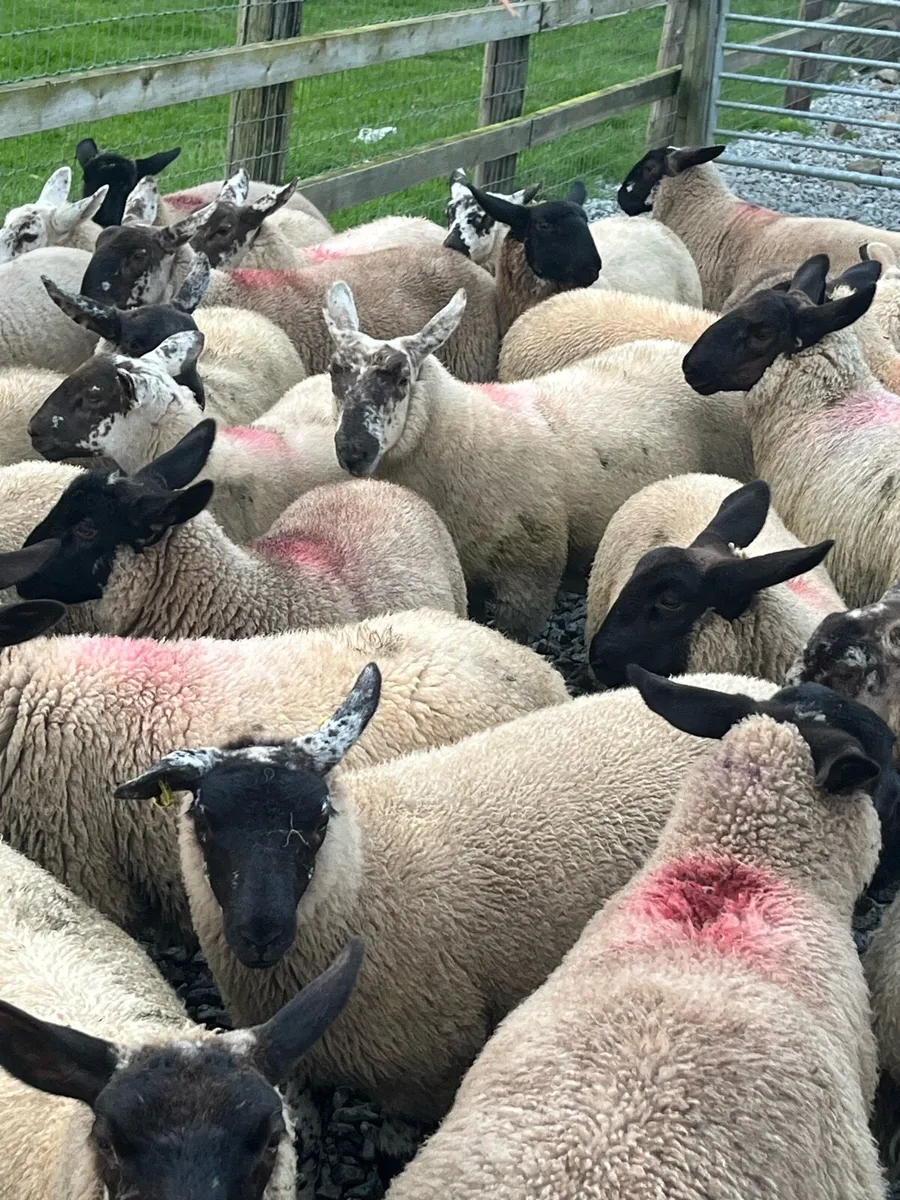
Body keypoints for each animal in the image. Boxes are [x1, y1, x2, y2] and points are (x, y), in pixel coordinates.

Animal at [115, 664, 780, 1123]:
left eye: (319, 818)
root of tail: (748, 688)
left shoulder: (434, 1068)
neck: (367, 876)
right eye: (203, 820)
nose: (260, 934)